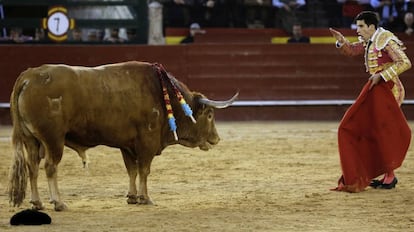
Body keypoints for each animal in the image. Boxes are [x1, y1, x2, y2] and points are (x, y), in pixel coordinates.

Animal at [8, 61, 238, 210]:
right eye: (210, 114)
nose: (216, 139)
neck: (164, 95)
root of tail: (28, 76)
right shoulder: (147, 142)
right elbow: (144, 170)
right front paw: (146, 198)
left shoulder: (127, 145)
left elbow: (132, 171)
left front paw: (132, 197)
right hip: (53, 139)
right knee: (50, 167)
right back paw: (58, 202)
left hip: (31, 140)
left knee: (32, 168)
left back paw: (37, 203)